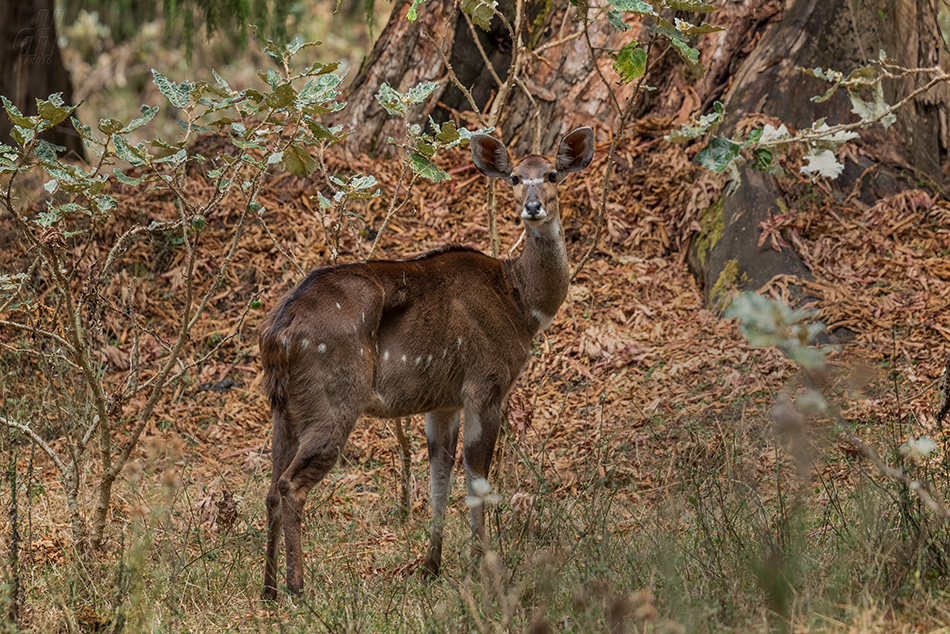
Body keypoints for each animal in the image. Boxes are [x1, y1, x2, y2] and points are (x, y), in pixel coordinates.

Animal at [260, 126, 596, 596]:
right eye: (514, 177)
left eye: (551, 174)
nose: (533, 207)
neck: (520, 301)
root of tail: (279, 333)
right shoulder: (485, 385)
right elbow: (477, 478)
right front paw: (484, 568)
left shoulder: (443, 401)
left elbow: (440, 476)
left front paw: (431, 567)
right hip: (333, 401)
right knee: (291, 485)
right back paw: (297, 587)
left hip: (284, 409)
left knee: (271, 485)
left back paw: (269, 590)